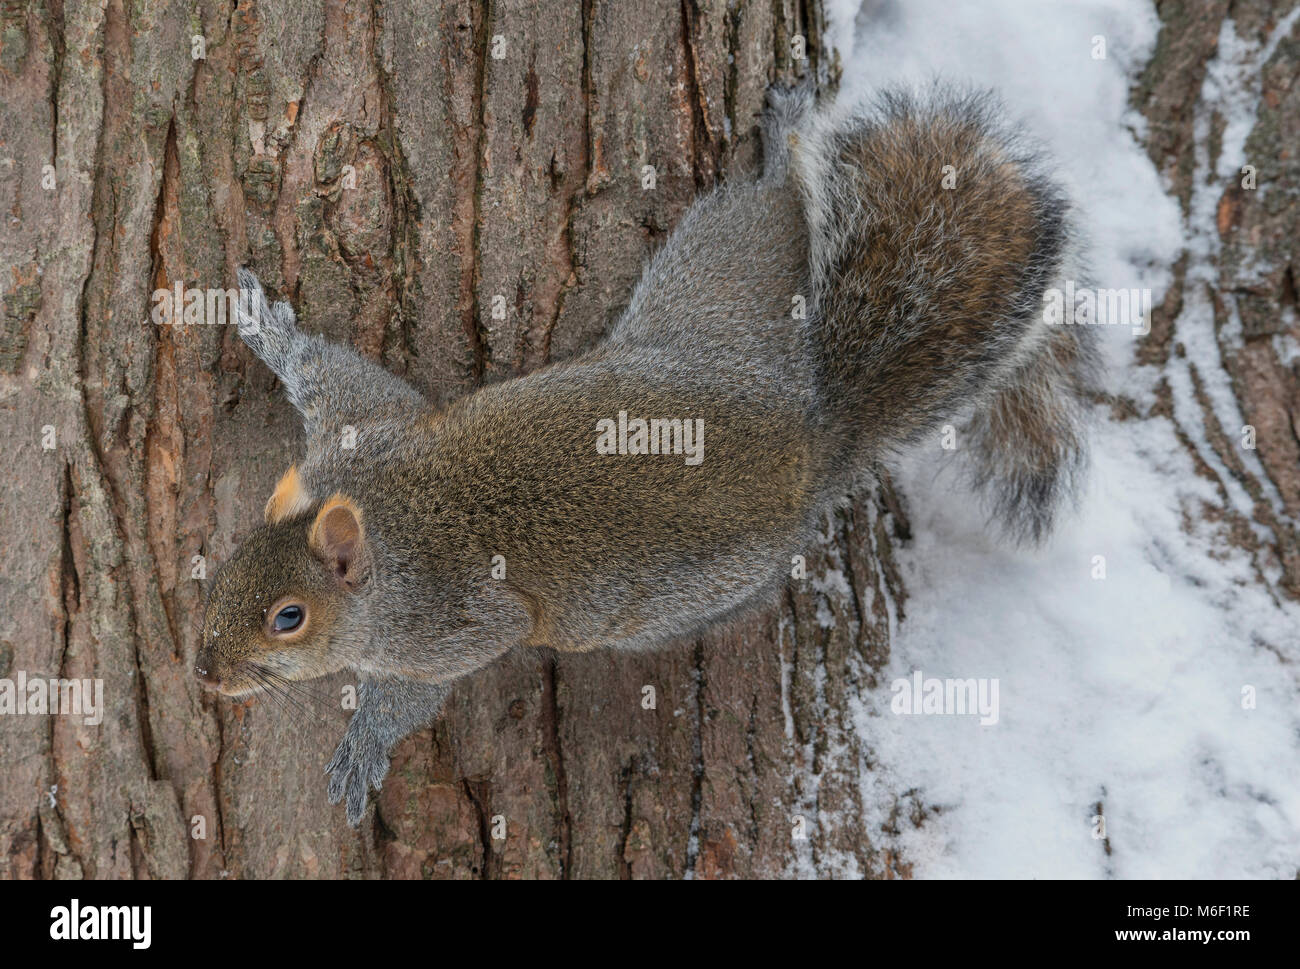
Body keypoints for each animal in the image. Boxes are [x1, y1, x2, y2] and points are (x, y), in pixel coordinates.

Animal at [197, 83, 1102, 822]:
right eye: (230, 563)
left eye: (289, 618)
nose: (205, 671)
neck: (385, 526)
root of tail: (810, 440)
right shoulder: (364, 432)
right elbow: (333, 372)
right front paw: (267, 328)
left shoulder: (454, 621)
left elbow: (427, 683)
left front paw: (366, 744)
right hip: (730, 290)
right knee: (772, 220)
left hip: (683, 551)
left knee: (768, 198)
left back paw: (781, 141)